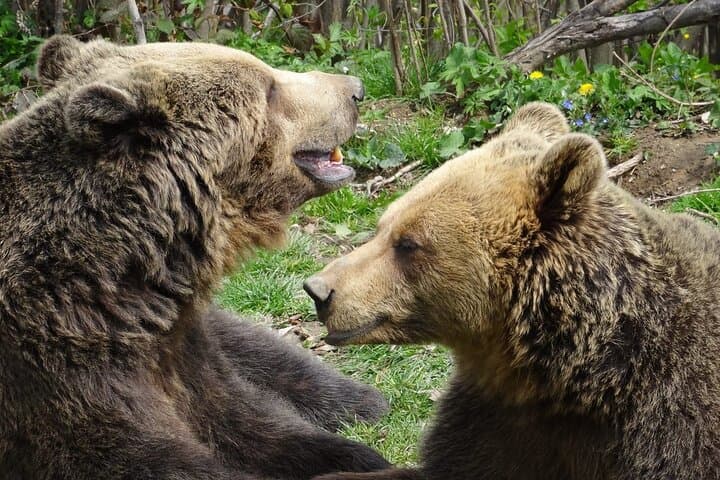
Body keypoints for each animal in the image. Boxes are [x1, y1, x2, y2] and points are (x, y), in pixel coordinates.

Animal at [0, 35, 392, 479]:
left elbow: (244, 417)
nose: (356, 89)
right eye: (269, 89)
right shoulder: (57, 368)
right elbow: (133, 453)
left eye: (267, 73)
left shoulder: (177, 343)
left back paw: (358, 398)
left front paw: (358, 456)